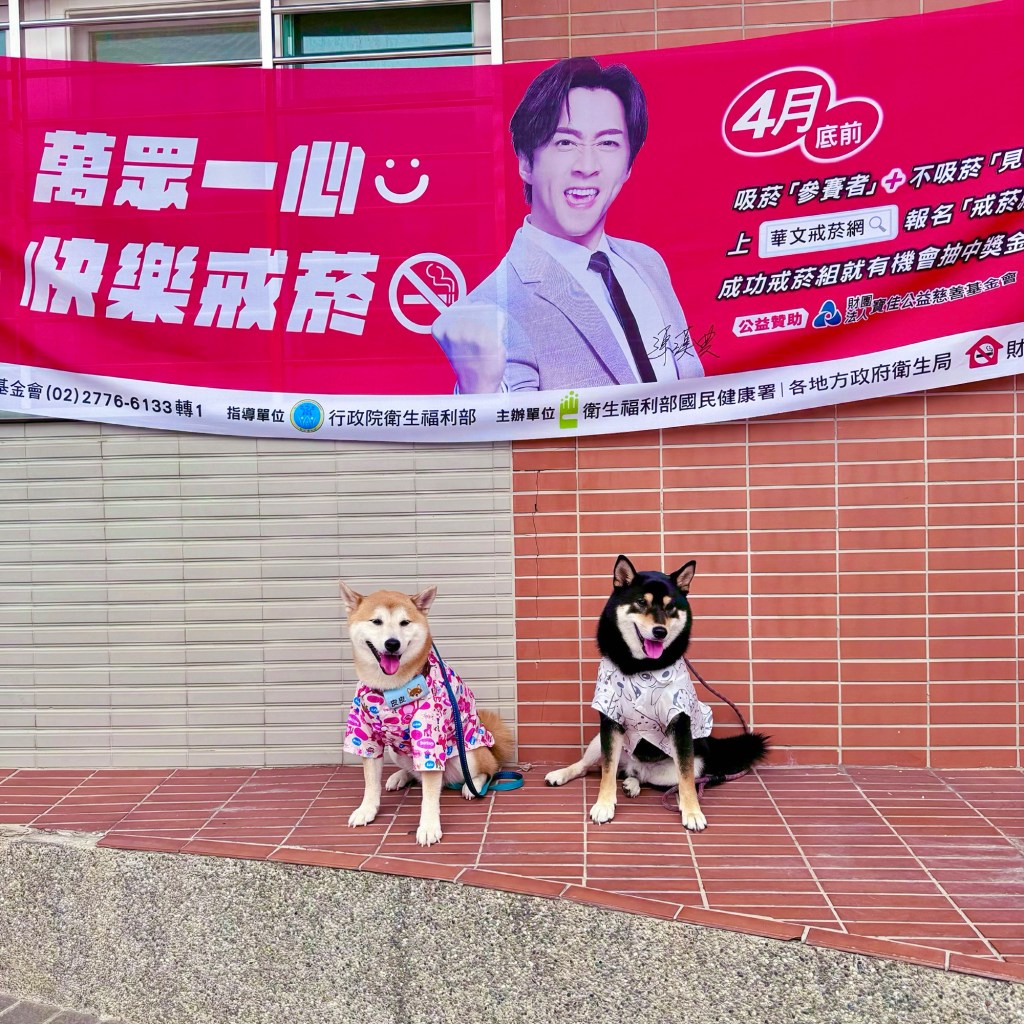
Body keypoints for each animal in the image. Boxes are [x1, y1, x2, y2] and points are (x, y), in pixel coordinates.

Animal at [340, 581, 513, 846]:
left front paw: (429, 827)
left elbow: (429, 795)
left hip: (468, 754)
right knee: (415, 773)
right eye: (376, 621)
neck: (390, 689)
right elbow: (371, 782)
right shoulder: (365, 735)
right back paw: (399, 777)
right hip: (397, 751)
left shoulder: (428, 738)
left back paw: (471, 786)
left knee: (485, 771)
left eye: (404, 623)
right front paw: (366, 810)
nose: (392, 643)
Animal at [545, 555, 768, 831]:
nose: (660, 632)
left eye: (671, 607)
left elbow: (685, 778)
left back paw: (636, 785)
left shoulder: (679, 720)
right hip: (599, 741)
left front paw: (693, 812)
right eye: (641, 602)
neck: (641, 668)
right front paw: (604, 805)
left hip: (693, 765)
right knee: (591, 767)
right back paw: (563, 775)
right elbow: (606, 771)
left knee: (653, 778)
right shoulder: (610, 717)